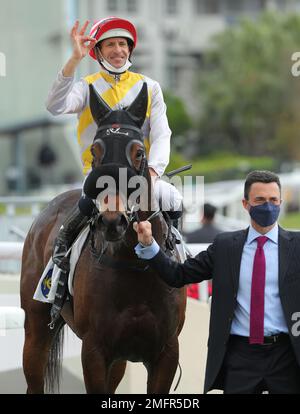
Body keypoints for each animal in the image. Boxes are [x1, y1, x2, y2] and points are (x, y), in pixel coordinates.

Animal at [19, 82, 186, 392]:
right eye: (95, 151)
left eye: (139, 152)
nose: (112, 220)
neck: (135, 267)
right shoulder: (94, 350)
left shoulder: (166, 352)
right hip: (35, 330)